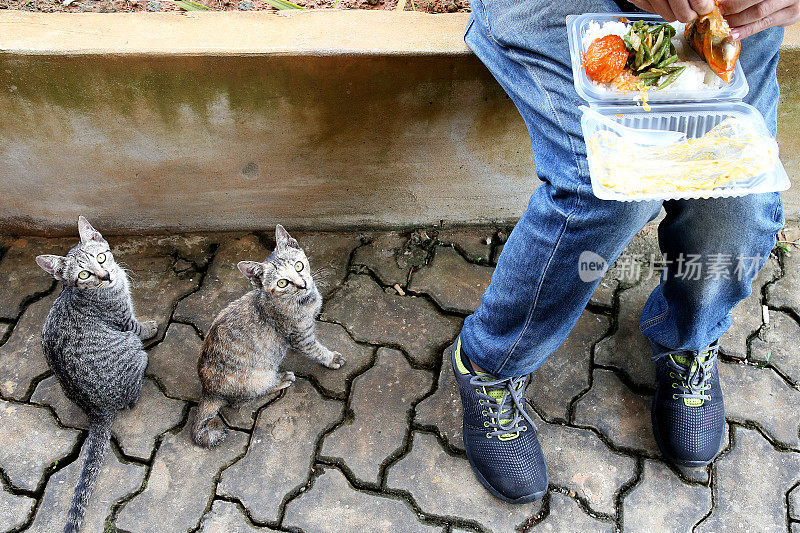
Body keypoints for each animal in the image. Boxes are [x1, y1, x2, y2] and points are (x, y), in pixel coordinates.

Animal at [35, 216, 157, 532]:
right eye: (84, 274)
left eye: (101, 258)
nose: (106, 276)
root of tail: (97, 409)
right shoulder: (124, 322)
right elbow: (139, 326)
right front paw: (153, 325)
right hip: (132, 349)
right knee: (133, 393)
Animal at [194, 222, 346, 446]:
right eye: (282, 283)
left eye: (299, 266)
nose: (303, 284)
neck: (304, 302)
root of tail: (207, 390)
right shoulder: (300, 337)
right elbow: (316, 350)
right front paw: (330, 358)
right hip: (259, 378)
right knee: (247, 397)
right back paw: (282, 378)